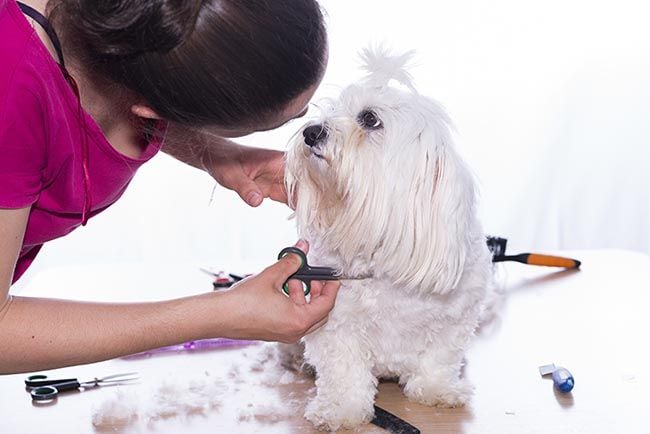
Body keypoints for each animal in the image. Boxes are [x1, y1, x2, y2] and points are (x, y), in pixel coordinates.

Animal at [284, 47, 492, 430]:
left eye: (369, 119)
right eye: (332, 110)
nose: (311, 131)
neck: (382, 258)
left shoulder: (455, 319)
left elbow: (438, 358)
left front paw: (437, 390)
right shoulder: (337, 327)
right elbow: (344, 372)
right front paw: (341, 410)